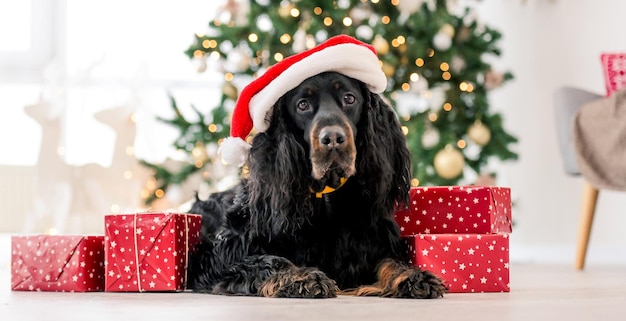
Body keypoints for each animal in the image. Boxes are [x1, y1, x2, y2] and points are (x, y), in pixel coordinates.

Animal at [185, 70, 444, 298]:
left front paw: (412, 276)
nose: (333, 139)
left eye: (349, 98)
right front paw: (302, 277)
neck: (326, 197)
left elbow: (390, 261)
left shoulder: (373, 240)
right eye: (302, 105)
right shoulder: (219, 257)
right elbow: (270, 260)